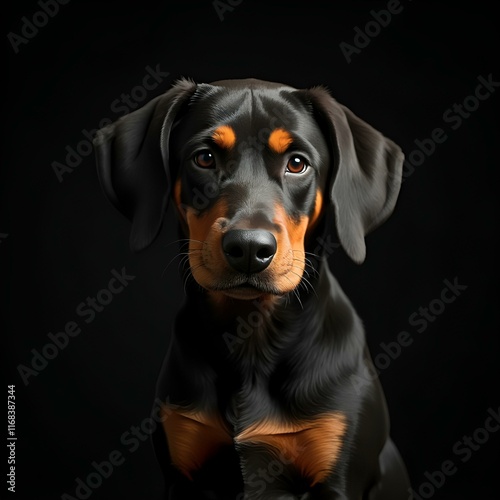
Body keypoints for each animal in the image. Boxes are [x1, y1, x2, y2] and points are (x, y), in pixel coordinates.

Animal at [94, 79, 410, 500]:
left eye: (297, 163)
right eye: (205, 158)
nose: (248, 248)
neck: (252, 335)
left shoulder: (338, 476)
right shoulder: (183, 471)